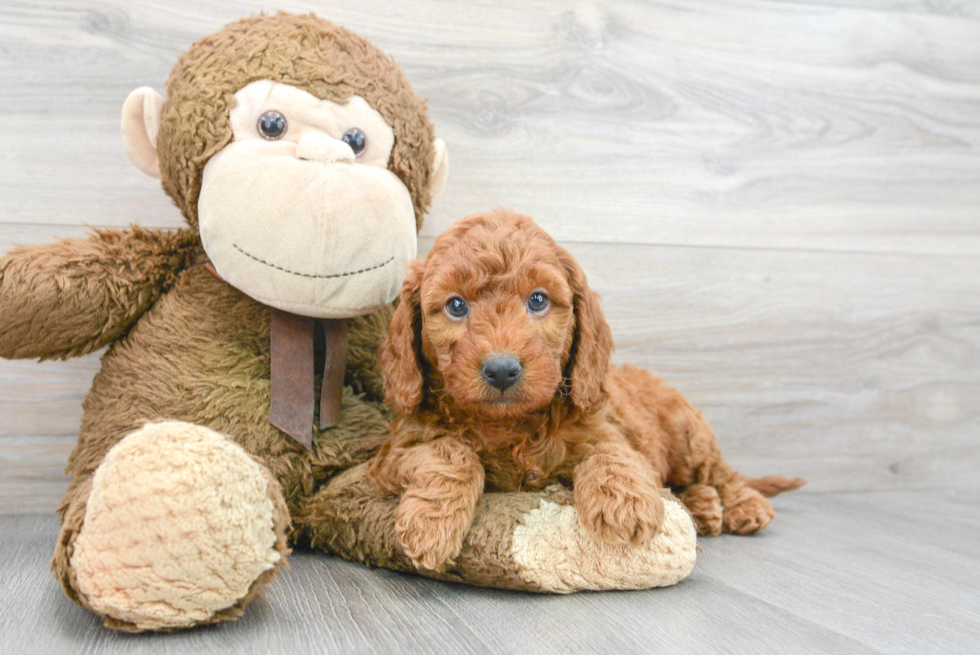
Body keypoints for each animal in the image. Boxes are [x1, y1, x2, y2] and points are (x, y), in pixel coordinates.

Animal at [368, 211, 804, 576]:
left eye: (538, 300)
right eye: (456, 306)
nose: (502, 370)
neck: (508, 425)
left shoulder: (608, 427)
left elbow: (611, 452)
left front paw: (625, 504)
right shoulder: (392, 455)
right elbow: (448, 451)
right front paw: (432, 525)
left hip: (690, 439)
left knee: (722, 473)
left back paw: (744, 506)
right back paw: (704, 509)